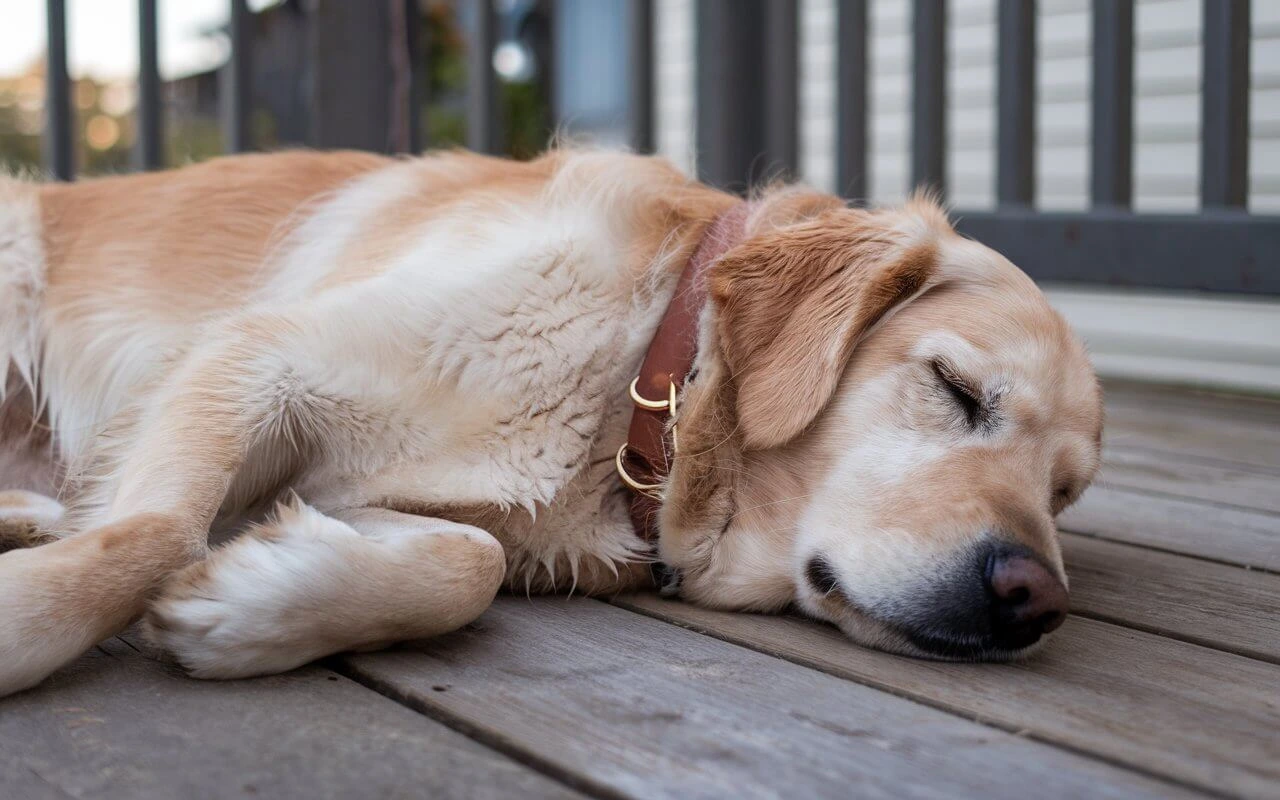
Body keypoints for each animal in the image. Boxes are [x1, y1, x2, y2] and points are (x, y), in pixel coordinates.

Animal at [0, 148, 1100, 691]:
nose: (1033, 600)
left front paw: (262, 599)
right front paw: (31, 616)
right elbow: (157, 529)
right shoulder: (255, 356)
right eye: (955, 387)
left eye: (1063, 494)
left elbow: (467, 564)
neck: (635, 376)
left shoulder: (369, 489)